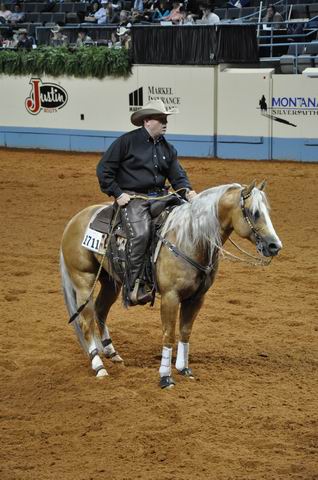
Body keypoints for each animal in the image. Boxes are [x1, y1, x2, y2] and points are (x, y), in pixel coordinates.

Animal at [60, 180, 282, 386]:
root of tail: (74, 220)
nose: (275, 245)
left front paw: (184, 368)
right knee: (86, 321)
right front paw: (165, 376)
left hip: (110, 281)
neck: (190, 238)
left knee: (100, 310)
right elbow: (169, 335)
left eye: (267, 211)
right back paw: (99, 366)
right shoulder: (170, 297)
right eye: (254, 213)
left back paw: (111, 353)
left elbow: (185, 332)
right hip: (83, 279)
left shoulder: (196, 298)